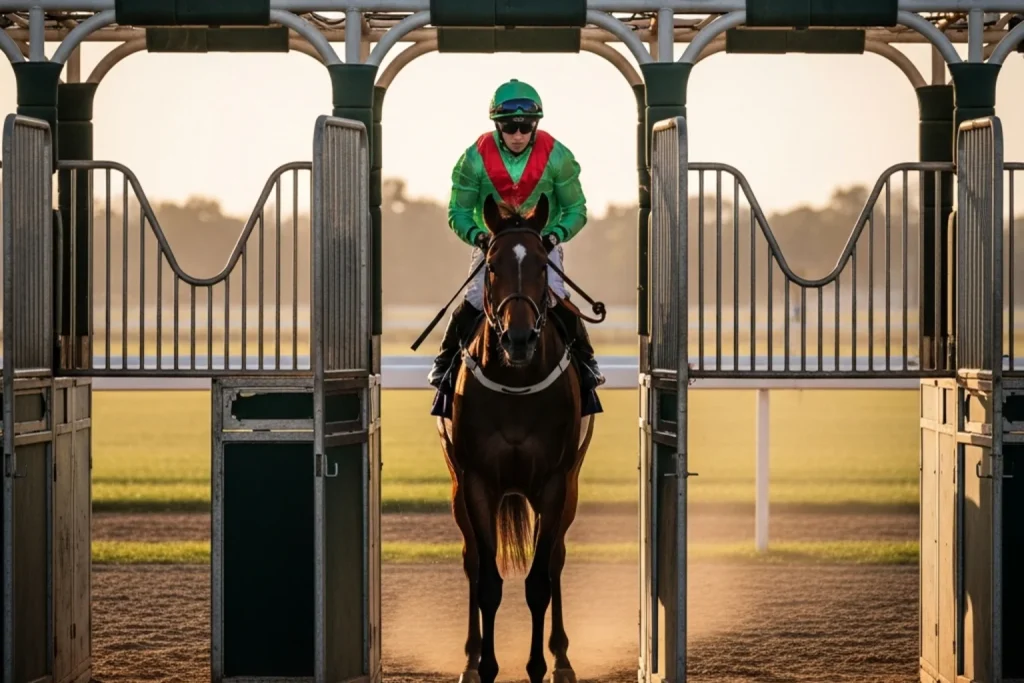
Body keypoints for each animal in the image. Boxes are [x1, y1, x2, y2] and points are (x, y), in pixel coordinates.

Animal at [435, 192, 595, 683]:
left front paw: (539, 666)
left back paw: (562, 657)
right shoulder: (476, 481)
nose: (519, 338)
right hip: (457, 487)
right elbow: (488, 580)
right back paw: (469, 658)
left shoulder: (556, 483)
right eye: (491, 264)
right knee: (471, 559)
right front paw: (485, 666)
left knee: (557, 557)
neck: (516, 383)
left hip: (567, 489)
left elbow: (540, 579)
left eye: (542, 263)